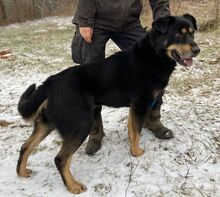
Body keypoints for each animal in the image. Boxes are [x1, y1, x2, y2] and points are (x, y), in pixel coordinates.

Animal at [16, 13, 199, 194]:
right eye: (178, 34)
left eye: (192, 33)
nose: (197, 50)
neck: (154, 55)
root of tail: (50, 83)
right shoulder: (139, 104)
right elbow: (137, 132)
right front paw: (137, 153)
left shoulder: (136, 106)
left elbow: (132, 131)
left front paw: (133, 150)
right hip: (81, 123)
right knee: (60, 159)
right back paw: (73, 186)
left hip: (46, 124)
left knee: (25, 146)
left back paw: (22, 172)